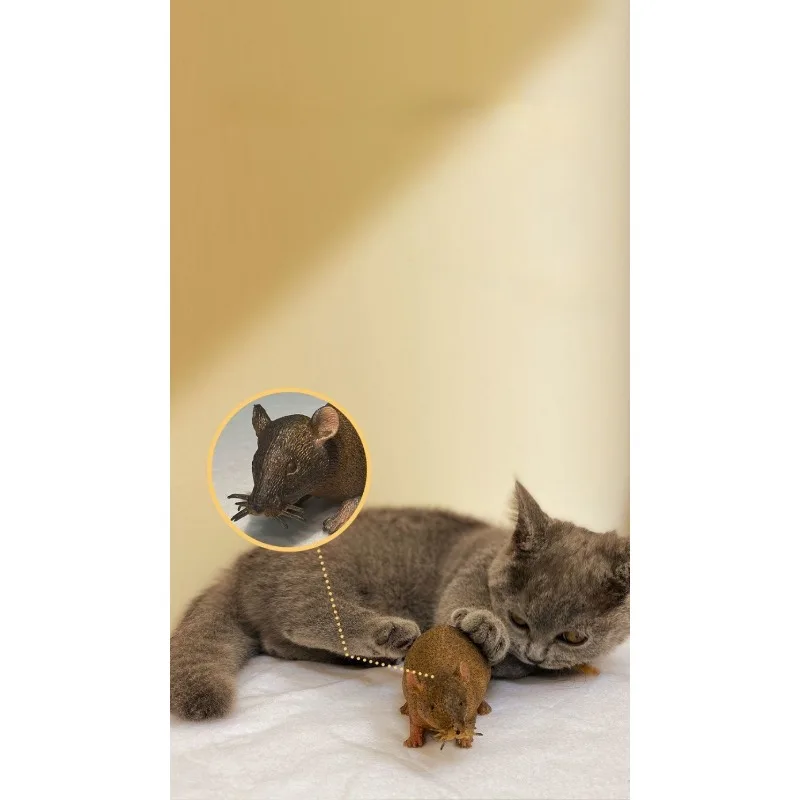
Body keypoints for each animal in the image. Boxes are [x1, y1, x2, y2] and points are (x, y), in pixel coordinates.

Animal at [171, 481, 630, 720]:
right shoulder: (470, 566)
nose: (535, 652)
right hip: (321, 575)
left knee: (275, 639)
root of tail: (239, 567)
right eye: (518, 619)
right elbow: (462, 600)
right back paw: (390, 634)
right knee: (302, 616)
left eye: (573, 637)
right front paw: (484, 627)